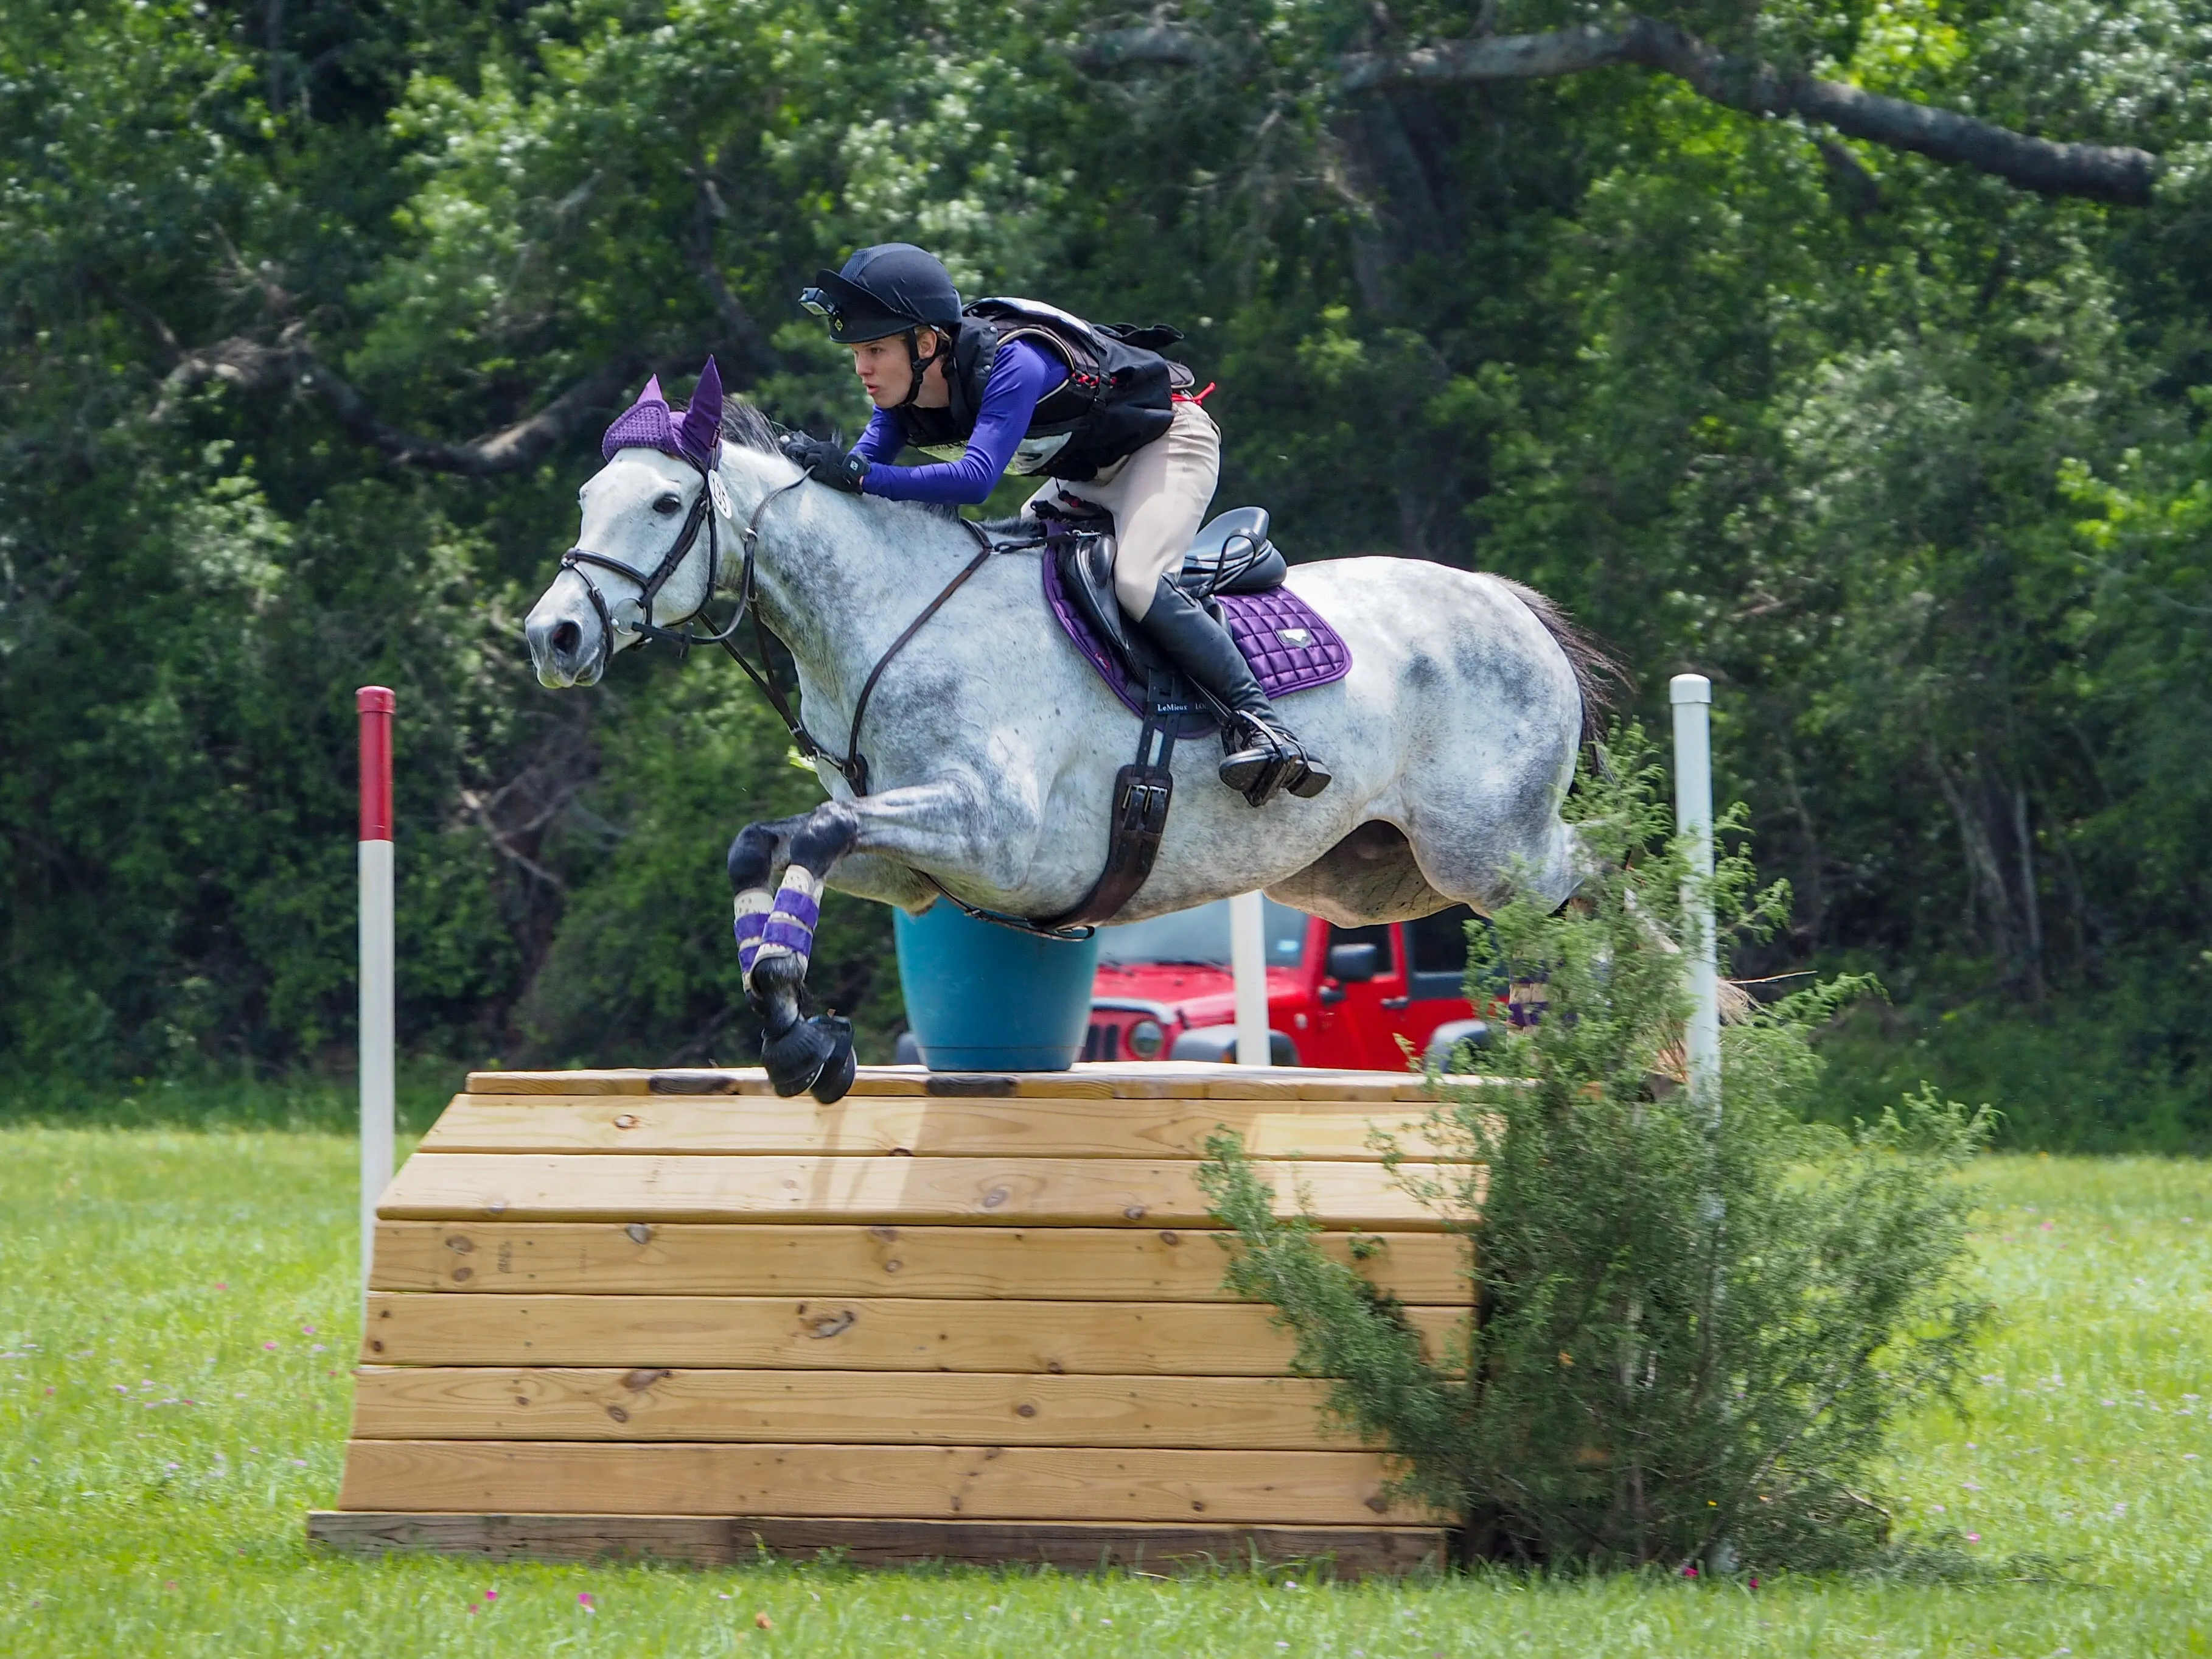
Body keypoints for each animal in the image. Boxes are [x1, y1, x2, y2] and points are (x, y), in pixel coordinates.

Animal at [528, 375, 1619, 1106]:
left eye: (667, 502)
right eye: (584, 501)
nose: (554, 636)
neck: (888, 619)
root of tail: (1512, 605)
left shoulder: (991, 832)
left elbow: (817, 832)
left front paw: (793, 1022)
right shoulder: (920, 869)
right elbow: (766, 840)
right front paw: (798, 1031)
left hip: (1487, 849)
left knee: (1602, 883)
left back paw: (1634, 1041)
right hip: (1370, 879)